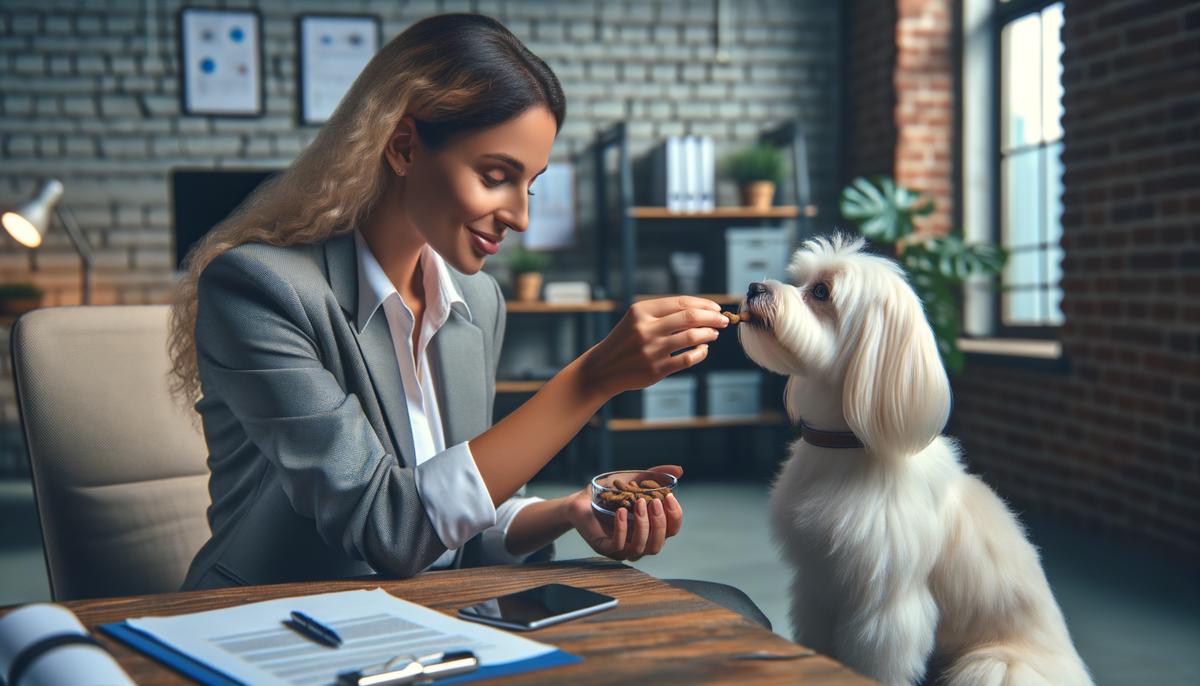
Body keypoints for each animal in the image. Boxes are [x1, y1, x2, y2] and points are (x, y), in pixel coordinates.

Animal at [734, 236, 1094, 686]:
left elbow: (877, 661)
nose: (753, 287)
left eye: (821, 292)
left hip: (995, 665)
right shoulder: (818, 584)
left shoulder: (886, 604)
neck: (847, 446)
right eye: (799, 279)